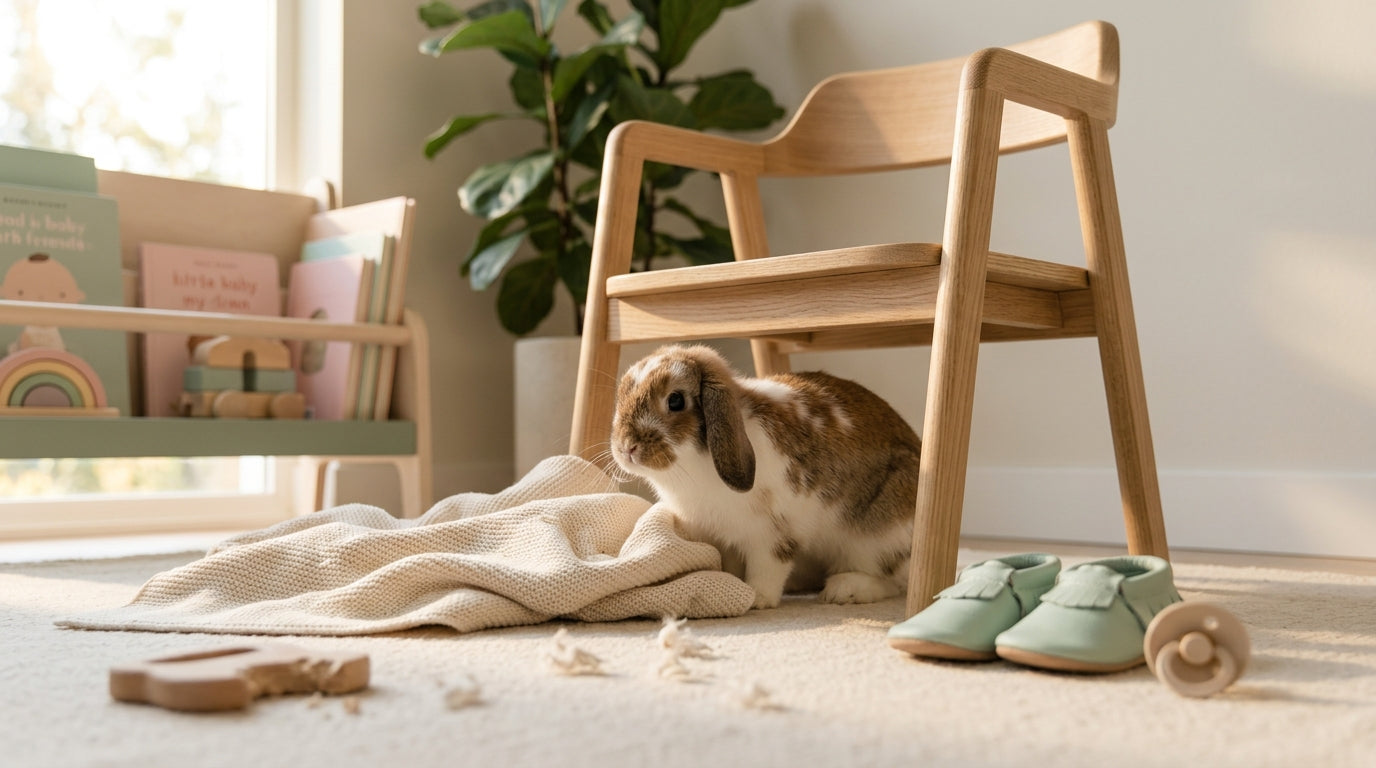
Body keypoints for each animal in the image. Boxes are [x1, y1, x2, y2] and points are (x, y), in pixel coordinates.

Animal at [609, 344, 921, 609]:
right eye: (621, 396)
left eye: (675, 400)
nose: (627, 447)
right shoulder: (720, 537)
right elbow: (730, 564)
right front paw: (732, 585)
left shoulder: (771, 534)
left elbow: (767, 567)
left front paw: (756, 598)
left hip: (875, 536)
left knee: (893, 580)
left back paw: (844, 590)